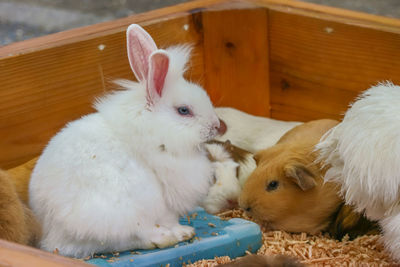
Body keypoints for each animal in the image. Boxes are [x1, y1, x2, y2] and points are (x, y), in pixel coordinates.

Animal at [29, 25, 220, 260]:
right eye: (184, 110)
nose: (217, 125)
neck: (153, 132)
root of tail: (51, 235)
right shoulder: (166, 203)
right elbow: (168, 220)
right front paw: (181, 230)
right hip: (127, 207)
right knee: (136, 235)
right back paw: (170, 236)